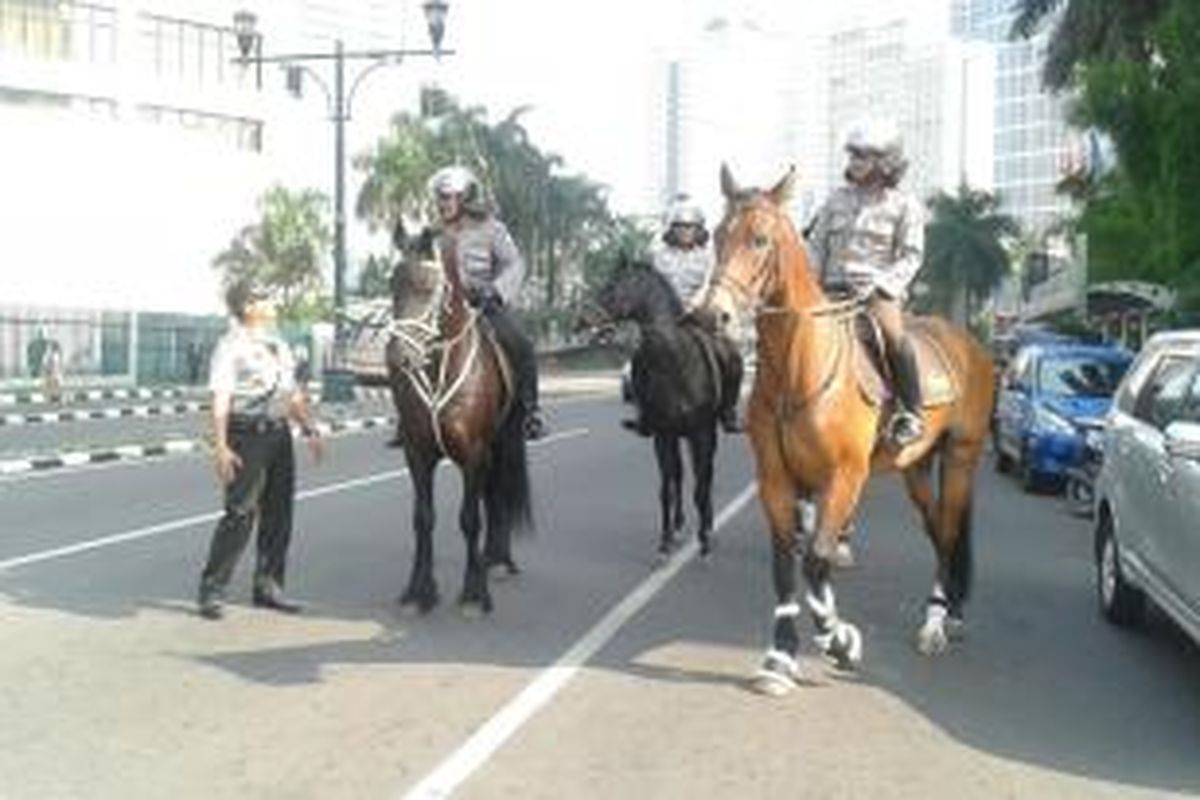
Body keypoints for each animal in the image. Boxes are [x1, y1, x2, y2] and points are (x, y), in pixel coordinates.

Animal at [386, 225, 532, 618]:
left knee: (496, 496)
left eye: (427, 286)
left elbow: (469, 519)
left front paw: (473, 593)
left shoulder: (473, 453)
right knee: (491, 495)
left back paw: (498, 561)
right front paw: (419, 590)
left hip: (501, 443)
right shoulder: (417, 454)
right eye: (393, 284)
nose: (398, 357)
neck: (440, 366)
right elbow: (423, 518)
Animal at [578, 260, 734, 561]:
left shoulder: (701, 433)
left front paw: (705, 540)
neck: (675, 362)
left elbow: (701, 486)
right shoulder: (663, 434)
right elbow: (666, 487)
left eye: (612, 287)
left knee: (705, 476)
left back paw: (707, 526)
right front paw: (665, 541)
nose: (582, 319)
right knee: (679, 477)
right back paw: (678, 525)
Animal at [700, 164, 993, 695]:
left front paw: (840, 642)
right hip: (917, 468)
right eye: (715, 235)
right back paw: (949, 612)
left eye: (759, 239)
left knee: (948, 531)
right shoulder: (776, 480)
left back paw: (936, 621)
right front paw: (780, 657)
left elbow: (816, 559)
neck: (799, 368)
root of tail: (969, 344)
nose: (713, 314)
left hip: (962, 456)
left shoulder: (845, 477)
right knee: (936, 527)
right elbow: (785, 565)